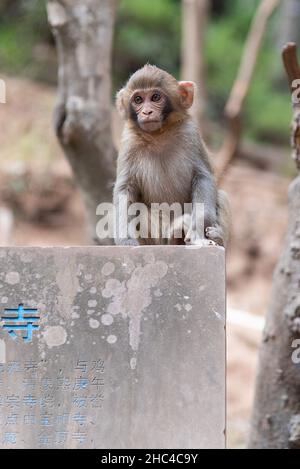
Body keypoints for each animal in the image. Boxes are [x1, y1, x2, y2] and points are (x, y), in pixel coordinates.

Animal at [113, 66, 230, 249]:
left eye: (155, 97)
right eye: (138, 99)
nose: (147, 111)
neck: (158, 135)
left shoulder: (190, 132)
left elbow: (203, 178)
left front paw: (197, 233)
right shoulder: (129, 142)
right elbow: (125, 190)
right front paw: (126, 240)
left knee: (221, 196)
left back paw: (213, 238)